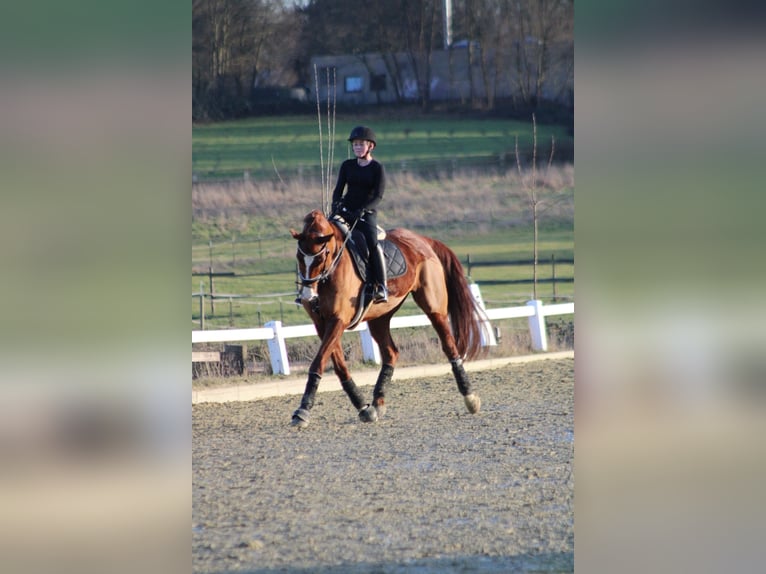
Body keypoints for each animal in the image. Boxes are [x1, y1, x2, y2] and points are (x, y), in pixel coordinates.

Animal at [289, 209, 484, 428]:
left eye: (322, 256)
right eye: (299, 256)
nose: (308, 296)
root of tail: (422, 240)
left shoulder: (338, 320)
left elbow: (318, 363)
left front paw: (302, 411)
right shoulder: (322, 324)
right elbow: (338, 365)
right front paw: (363, 407)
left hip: (434, 309)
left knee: (450, 346)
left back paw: (470, 398)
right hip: (379, 317)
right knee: (391, 352)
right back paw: (377, 403)